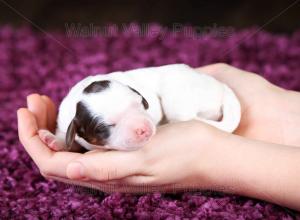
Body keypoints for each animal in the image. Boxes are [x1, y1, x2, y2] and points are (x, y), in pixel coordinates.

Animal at [38, 63, 241, 151]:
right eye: (105, 127)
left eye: (139, 104)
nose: (143, 129)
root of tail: (222, 87)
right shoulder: (65, 119)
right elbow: (64, 135)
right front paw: (54, 140)